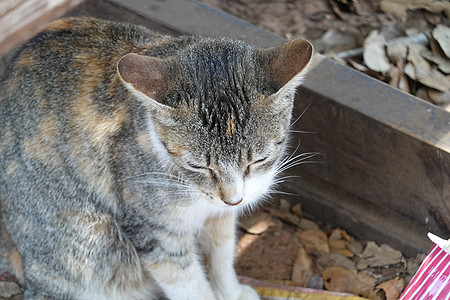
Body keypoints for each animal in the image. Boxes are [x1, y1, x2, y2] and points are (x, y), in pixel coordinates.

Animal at [0, 17, 312, 300]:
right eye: (197, 165)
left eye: (258, 160)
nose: (233, 200)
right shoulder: (153, 230)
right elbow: (188, 284)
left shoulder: (220, 218)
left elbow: (222, 257)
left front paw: (232, 292)